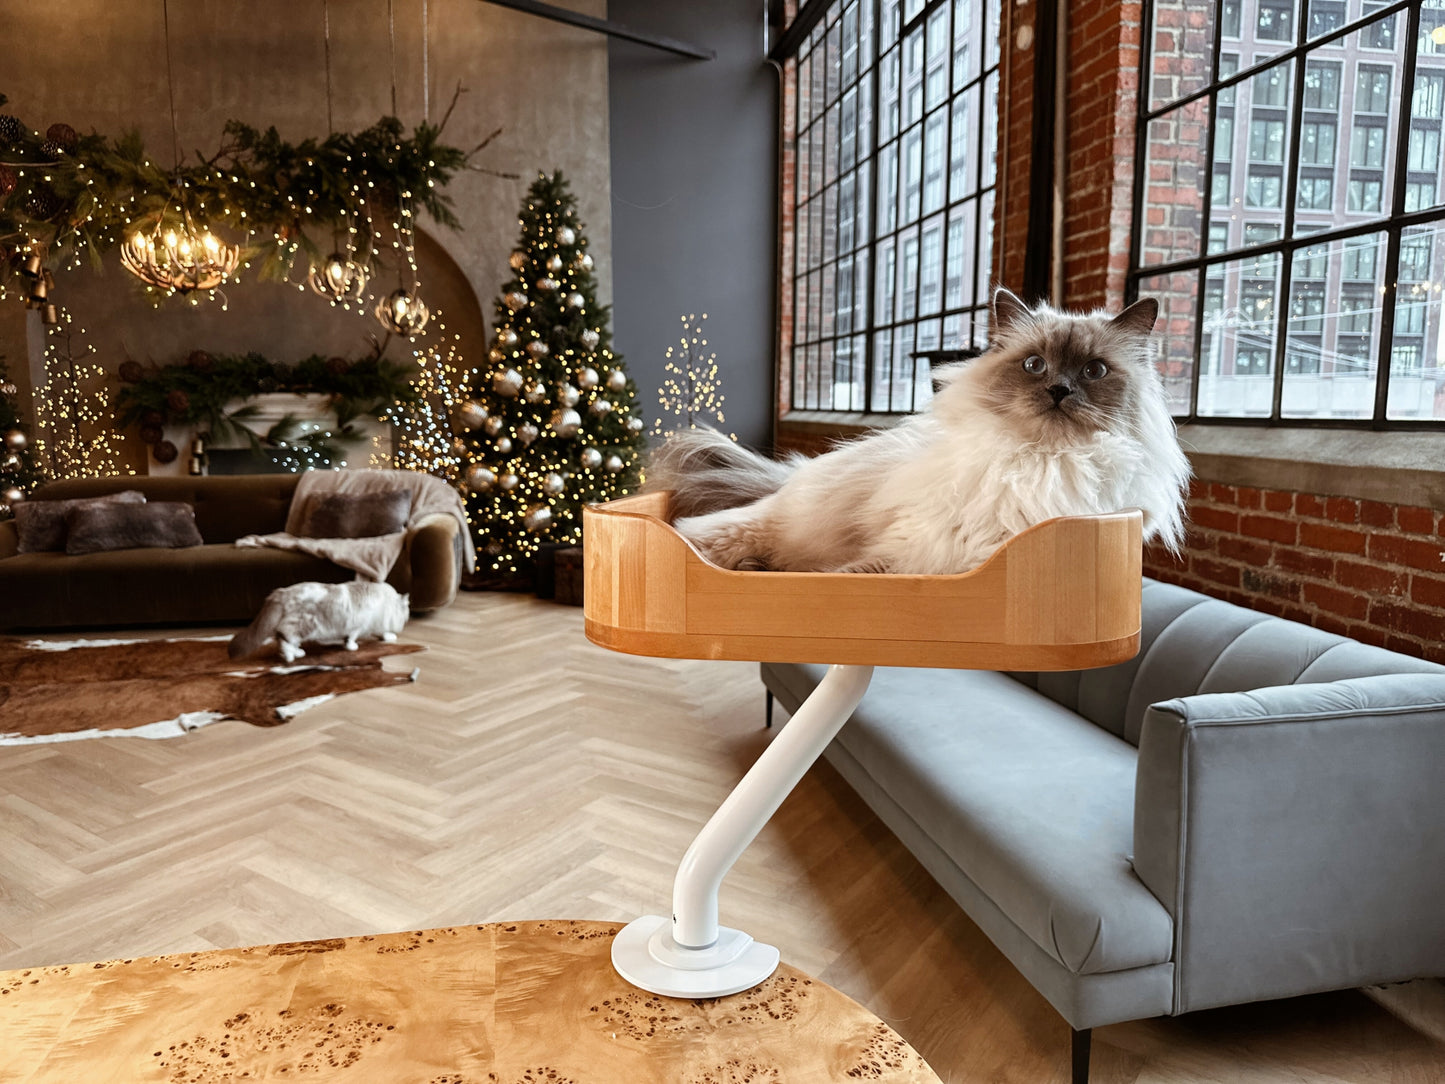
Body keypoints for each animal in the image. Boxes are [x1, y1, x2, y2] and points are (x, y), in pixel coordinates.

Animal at [228, 581, 413, 667]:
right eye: (405, 616)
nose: (405, 623)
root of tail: (280, 593)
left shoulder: (369, 624)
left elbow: (378, 632)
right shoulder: (360, 624)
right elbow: (354, 637)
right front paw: (352, 647)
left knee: (283, 639)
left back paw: (297, 653)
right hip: (306, 624)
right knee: (285, 638)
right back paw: (290, 657)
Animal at [650, 289, 1190, 578]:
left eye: (1094, 371)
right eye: (1034, 365)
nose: (1059, 391)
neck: (1040, 462)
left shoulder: (936, 563)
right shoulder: (911, 548)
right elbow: (845, 580)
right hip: (789, 517)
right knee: (703, 531)